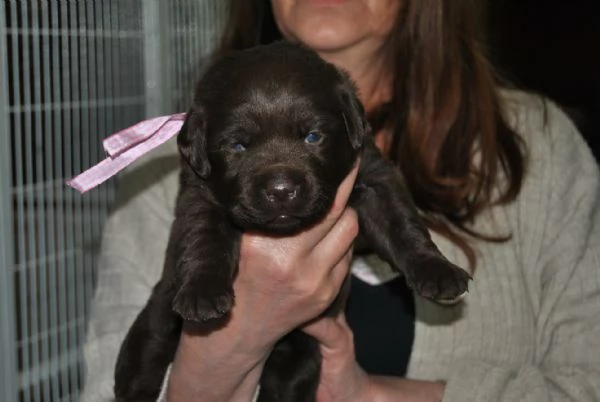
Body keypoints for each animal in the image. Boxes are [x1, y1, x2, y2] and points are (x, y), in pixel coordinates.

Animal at [115, 41, 472, 402]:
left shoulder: (374, 177)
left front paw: (437, 270)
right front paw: (203, 291)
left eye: (312, 137)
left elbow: (402, 224)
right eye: (238, 145)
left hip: (300, 355)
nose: (281, 190)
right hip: (154, 324)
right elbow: (204, 239)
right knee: (144, 354)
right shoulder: (199, 195)